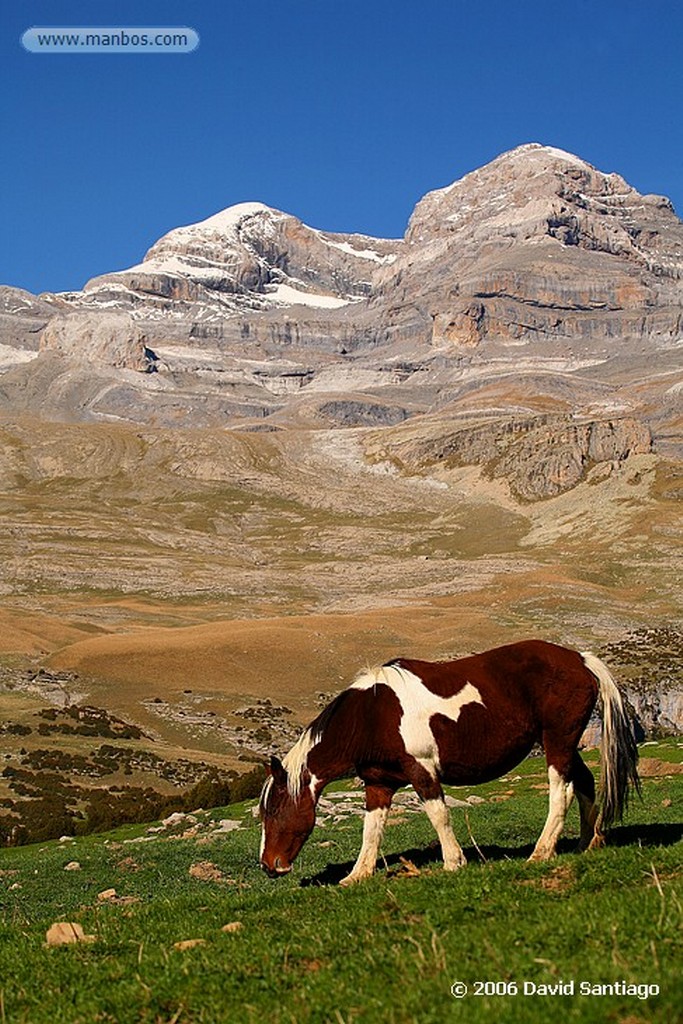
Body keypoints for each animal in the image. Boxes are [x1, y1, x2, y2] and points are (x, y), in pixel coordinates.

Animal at [258, 634, 643, 884]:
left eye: (274, 810)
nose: (268, 866)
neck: (371, 715)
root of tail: (580, 659)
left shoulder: (422, 770)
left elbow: (438, 815)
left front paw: (453, 862)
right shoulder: (379, 784)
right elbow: (372, 830)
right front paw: (357, 875)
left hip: (557, 742)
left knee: (560, 791)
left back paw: (542, 852)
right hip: (564, 742)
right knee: (585, 782)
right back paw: (588, 843)